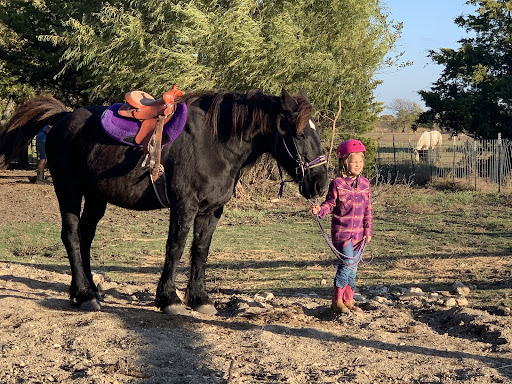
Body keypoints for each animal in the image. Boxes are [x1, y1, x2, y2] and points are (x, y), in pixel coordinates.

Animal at [0, 89, 328, 316]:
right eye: (299, 134)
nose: (321, 183)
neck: (216, 143)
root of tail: (61, 118)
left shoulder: (212, 210)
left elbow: (200, 252)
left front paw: (200, 299)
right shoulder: (185, 205)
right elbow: (176, 248)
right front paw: (169, 299)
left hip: (95, 197)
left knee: (84, 238)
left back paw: (89, 291)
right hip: (68, 190)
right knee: (70, 236)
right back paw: (84, 295)